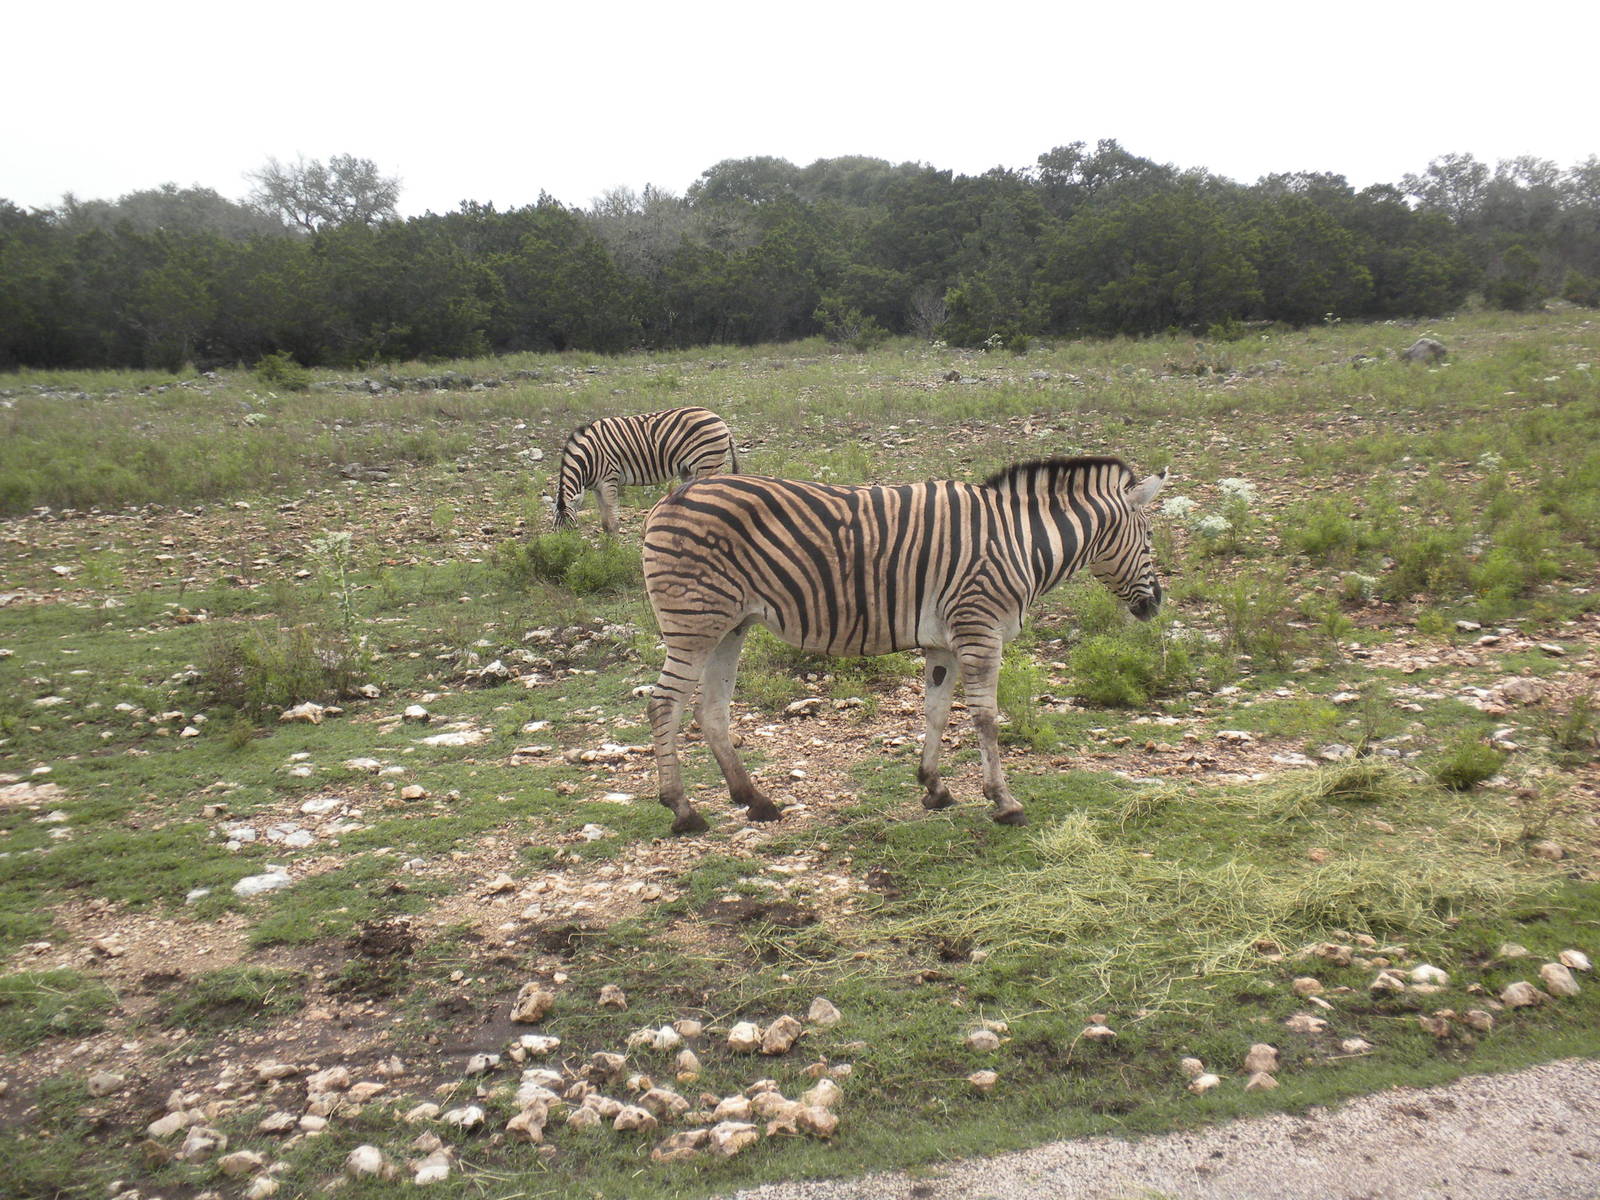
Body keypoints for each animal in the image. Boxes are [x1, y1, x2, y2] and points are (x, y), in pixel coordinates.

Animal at [553, 407, 739, 535]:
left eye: (571, 529)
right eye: (554, 531)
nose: (564, 550)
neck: (588, 458)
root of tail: (720, 420)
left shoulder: (609, 481)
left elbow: (613, 522)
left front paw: (614, 553)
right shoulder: (598, 488)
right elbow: (605, 523)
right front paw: (606, 551)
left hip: (708, 464)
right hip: (688, 470)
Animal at [642, 455, 1167, 835]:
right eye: (1147, 536)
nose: (1157, 603)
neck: (1020, 540)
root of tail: (673, 497)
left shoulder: (944, 643)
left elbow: (936, 710)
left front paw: (934, 788)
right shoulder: (980, 628)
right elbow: (985, 719)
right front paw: (1003, 802)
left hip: (731, 625)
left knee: (710, 709)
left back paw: (754, 800)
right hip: (695, 624)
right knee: (664, 704)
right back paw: (683, 810)